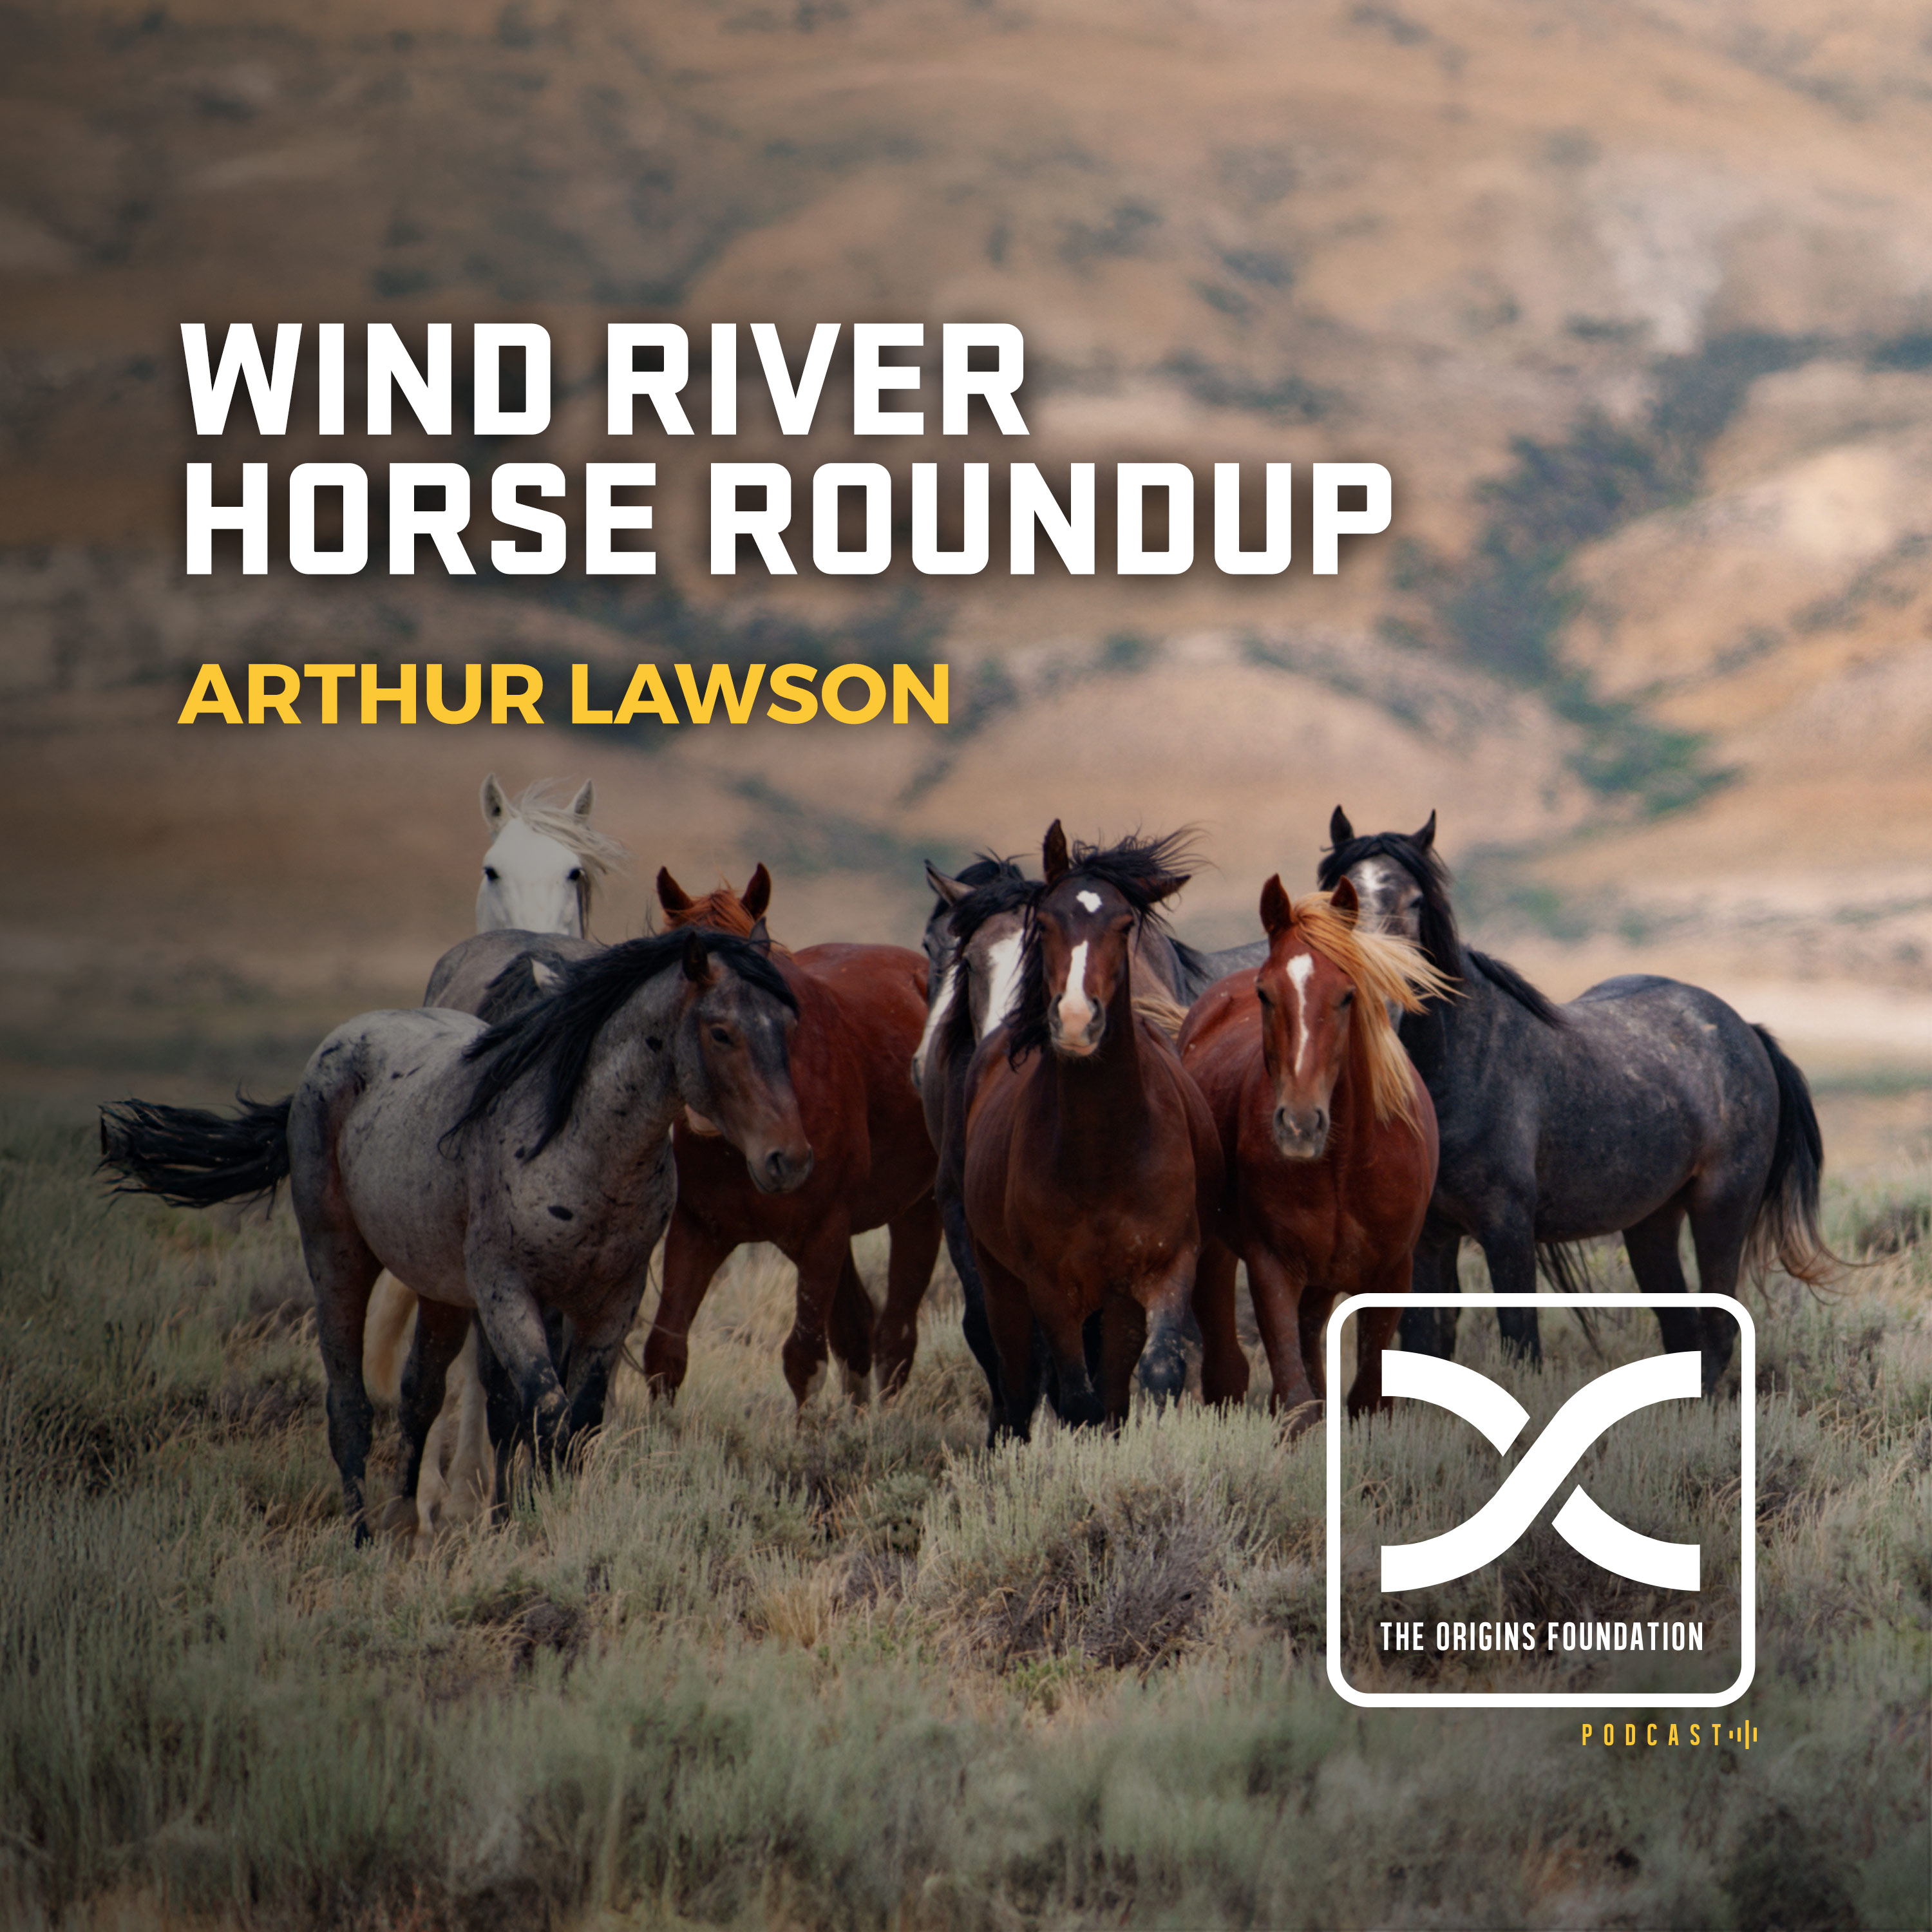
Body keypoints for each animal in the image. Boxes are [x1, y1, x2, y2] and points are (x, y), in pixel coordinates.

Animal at [101, 930, 810, 1539]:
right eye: (721, 1032)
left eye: (789, 1029)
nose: (789, 1159)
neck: (581, 1146)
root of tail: (338, 1045)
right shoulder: (508, 1293)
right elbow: (540, 1413)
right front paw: (531, 1523)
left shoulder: (613, 1300)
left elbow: (577, 1423)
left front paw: (542, 1517)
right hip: (338, 1257)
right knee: (350, 1402)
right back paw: (361, 1536)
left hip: (439, 1289)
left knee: (420, 1393)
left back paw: (403, 1520)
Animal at [646, 866, 943, 1406]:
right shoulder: (698, 1228)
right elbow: (666, 1353)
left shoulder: (822, 1230)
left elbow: (804, 1359)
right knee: (858, 1327)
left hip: (919, 1209)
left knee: (896, 1337)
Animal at [960, 823, 1224, 1435]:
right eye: (1046, 922)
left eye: (1124, 925)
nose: (1078, 1021)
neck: (1103, 1151)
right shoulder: (1051, 1289)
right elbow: (1075, 1400)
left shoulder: (1168, 1265)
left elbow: (1156, 1374)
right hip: (1000, 1282)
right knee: (1017, 1382)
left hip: (1117, 1298)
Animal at [1179, 877, 1446, 1424]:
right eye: (1265, 993)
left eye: (1347, 995)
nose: (1300, 1125)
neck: (1344, 1166)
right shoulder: (1272, 1267)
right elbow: (1298, 1402)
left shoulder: (1392, 1273)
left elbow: (1367, 1399)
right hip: (1217, 1254)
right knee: (1227, 1369)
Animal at [1319, 809, 1837, 1386]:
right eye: (1339, 900)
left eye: (1414, 902)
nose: (1380, 1001)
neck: (1458, 1071)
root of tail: (1745, 1029)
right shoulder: (1428, 1237)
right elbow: (1425, 1343)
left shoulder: (1507, 1230)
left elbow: (1521, 1343)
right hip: (1652, 1222)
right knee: (1682, 1326)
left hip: (1721, 1210)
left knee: (1718, 1332)